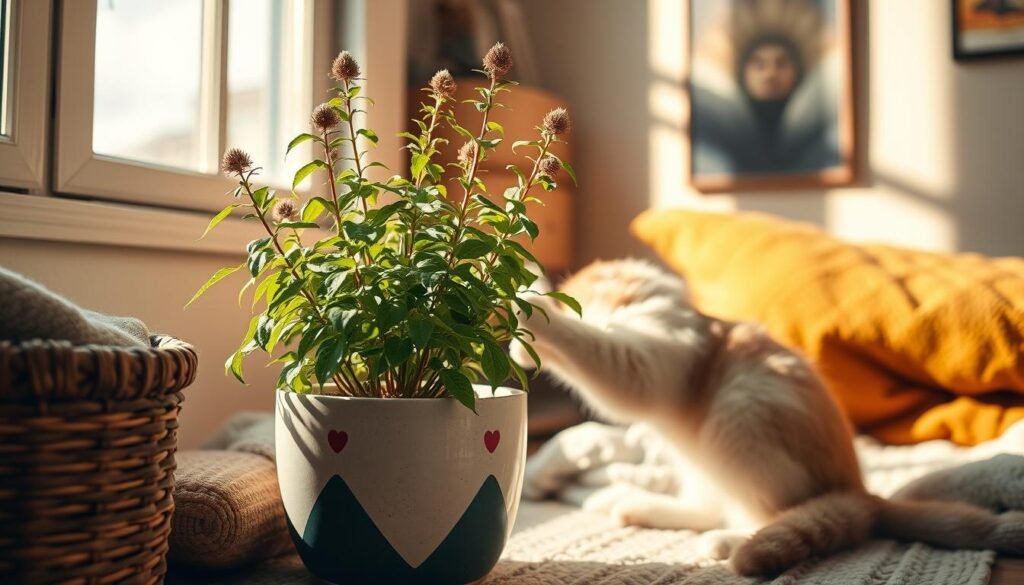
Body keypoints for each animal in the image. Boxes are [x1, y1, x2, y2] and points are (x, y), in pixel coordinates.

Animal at [512, 260, 1024, 577]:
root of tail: (862, 493)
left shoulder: (647, 362)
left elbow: (601, 353)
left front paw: (529, 303)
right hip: (700, 453)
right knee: (707, 503)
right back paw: (631, 503)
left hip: (740, 416)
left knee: (761, 511)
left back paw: (728, 541)